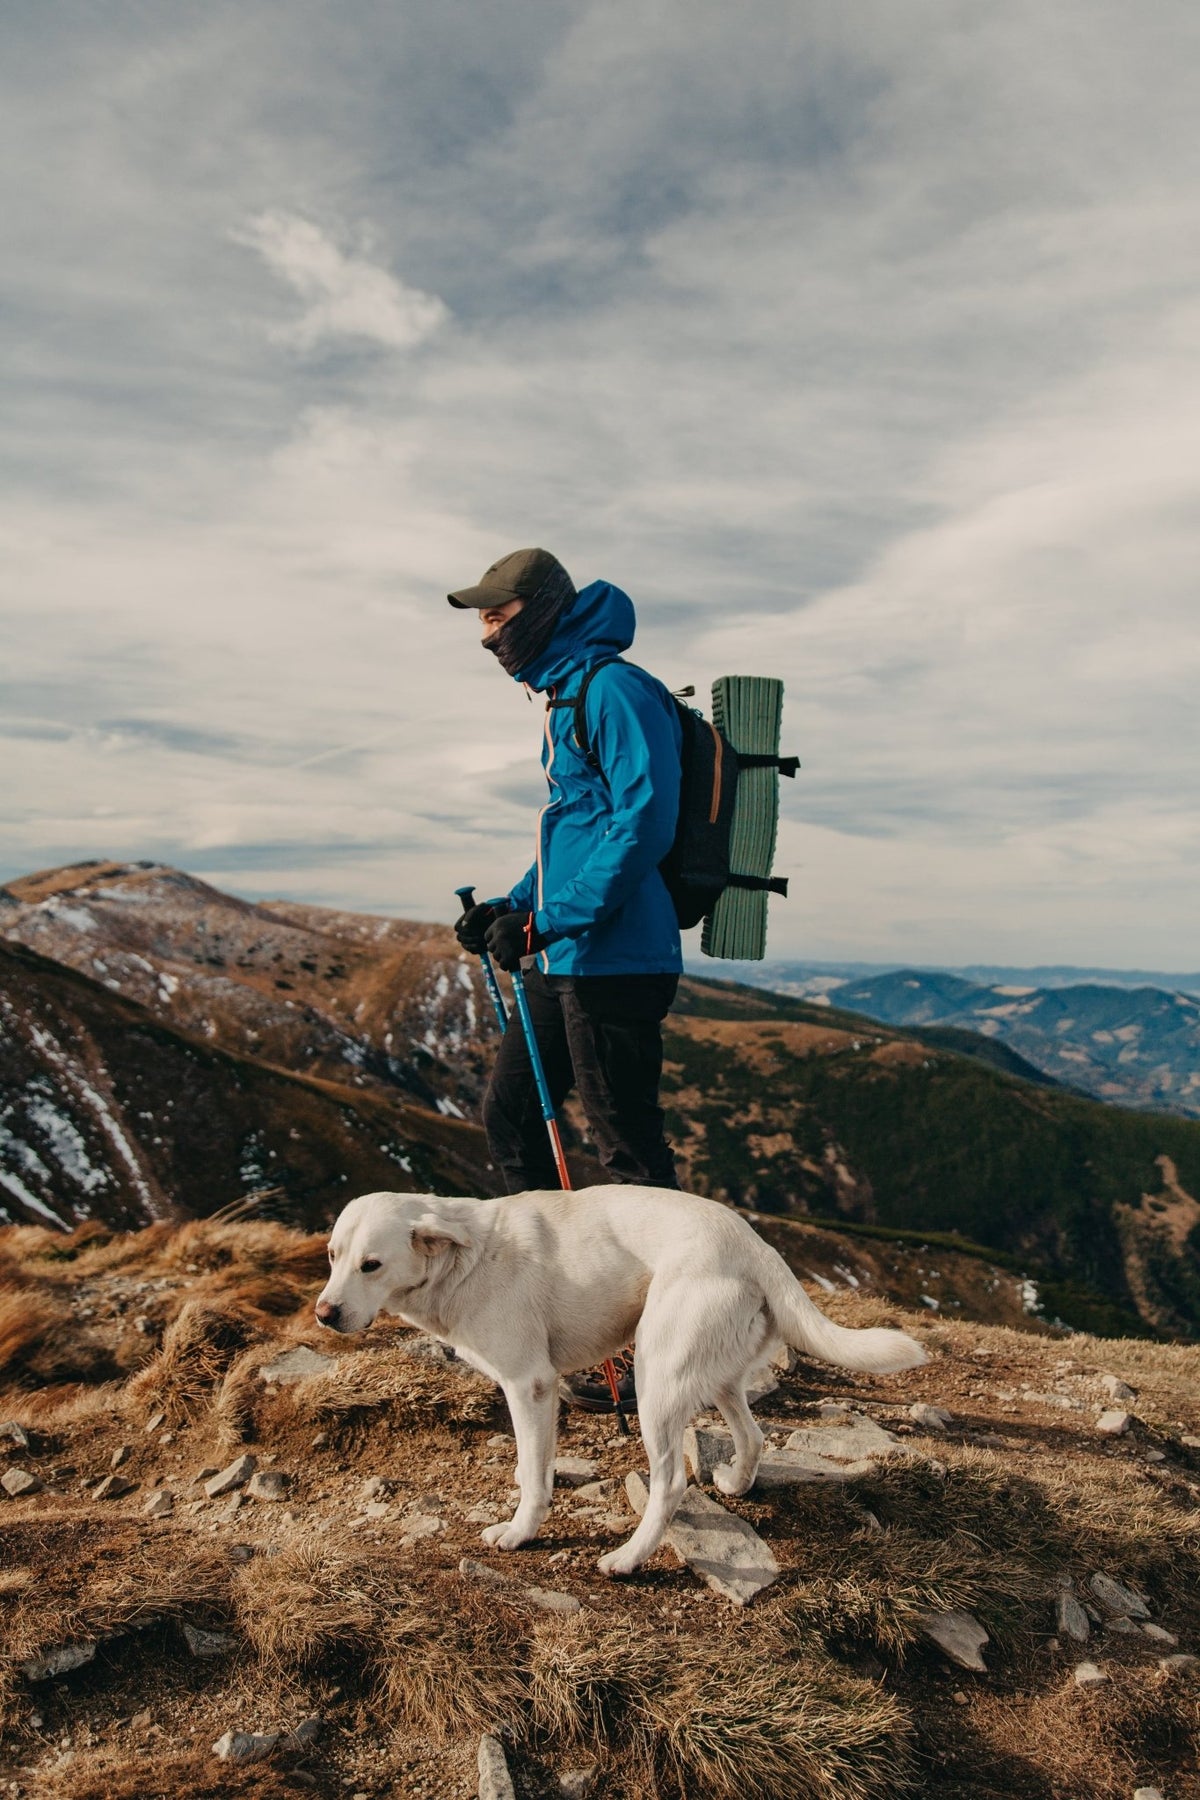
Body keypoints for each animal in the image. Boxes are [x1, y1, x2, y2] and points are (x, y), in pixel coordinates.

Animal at [314, 1195, 928, 1576]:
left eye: (372, 1265)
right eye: (332, 1255)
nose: (324, 1314)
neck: (464, 1260)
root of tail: (757, 1246)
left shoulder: (529, 1385)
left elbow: (534, 1476)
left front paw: (520, 1531)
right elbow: (530, 1464)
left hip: (658, 1380)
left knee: (671, 1482)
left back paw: (629, 1558)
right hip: (711, 1374)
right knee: (753, 1435)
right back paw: (736, 1483)